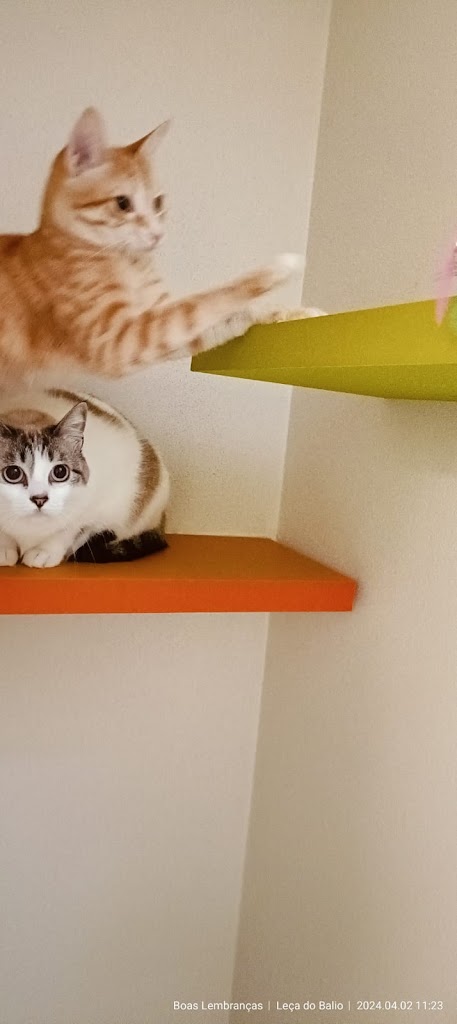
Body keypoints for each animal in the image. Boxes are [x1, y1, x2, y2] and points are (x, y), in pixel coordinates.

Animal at [0, 107, 309, 389]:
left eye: (158, 202)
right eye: (122, 203)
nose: (158, 235)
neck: (128, 262)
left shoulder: (157, 319)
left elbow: (222, 316)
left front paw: (288, 313)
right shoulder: (117, 341)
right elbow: (200, 303)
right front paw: (278, 268)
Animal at [0, 389, 169, 568]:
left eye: (60, 472)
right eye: (13, 473)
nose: (40, 499)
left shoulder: (90, 508)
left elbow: (67, 531)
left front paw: (44, 552)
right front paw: (4, 550)